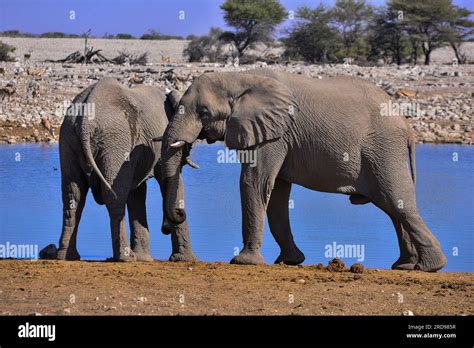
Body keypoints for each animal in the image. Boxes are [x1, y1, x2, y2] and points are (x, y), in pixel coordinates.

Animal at [57, 76, 196, 260]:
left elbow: (138, 193)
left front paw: (144, 258)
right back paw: (125, 257)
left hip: (69, 138)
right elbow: (170, 182)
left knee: (73, 196)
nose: (165, 228)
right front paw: (187, 259)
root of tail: (86, 121)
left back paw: (66, 256)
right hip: (116, 142)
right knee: (114, 197)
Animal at [159, 68, 448, 272]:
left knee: (399, 203)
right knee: (392, 208)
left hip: (384, 150)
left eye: (204, 112)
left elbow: (255, 182)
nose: (177, 217)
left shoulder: (274, 135)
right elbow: (276, 191)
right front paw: (290, 261)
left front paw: (243, 261)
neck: (239, 77)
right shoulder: (276, 136)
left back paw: (430, 267)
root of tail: (407, 127)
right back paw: (404, 265)